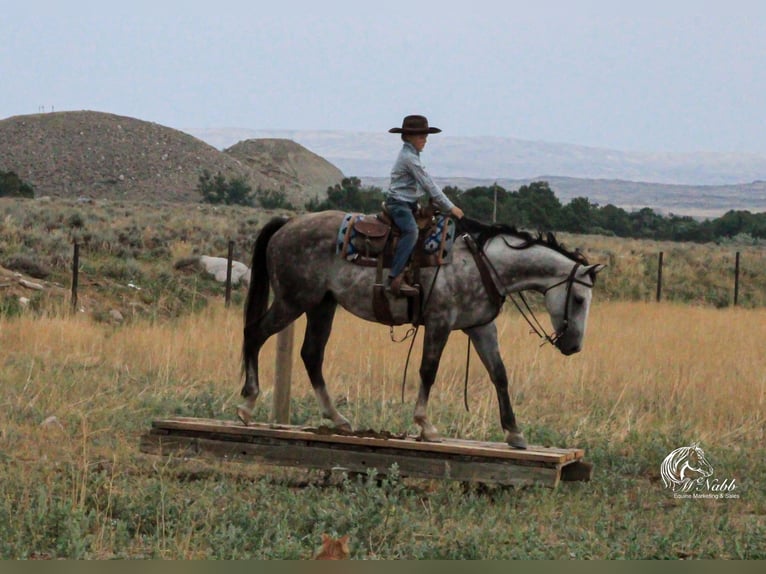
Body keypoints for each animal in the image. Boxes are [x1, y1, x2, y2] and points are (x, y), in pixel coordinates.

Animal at [240, 212, 608, 450]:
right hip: (293, 301)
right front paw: (425, 426)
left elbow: (499, 374)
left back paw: (339, 419)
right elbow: (428, 370)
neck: (482, 265)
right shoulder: (440, 323)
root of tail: (287, 224)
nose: (573, 346)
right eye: (578, 299)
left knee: (311, 354)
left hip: (322, 304)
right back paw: (248, 402)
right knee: (255, 334)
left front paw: (514, 433)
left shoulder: (480, 327)